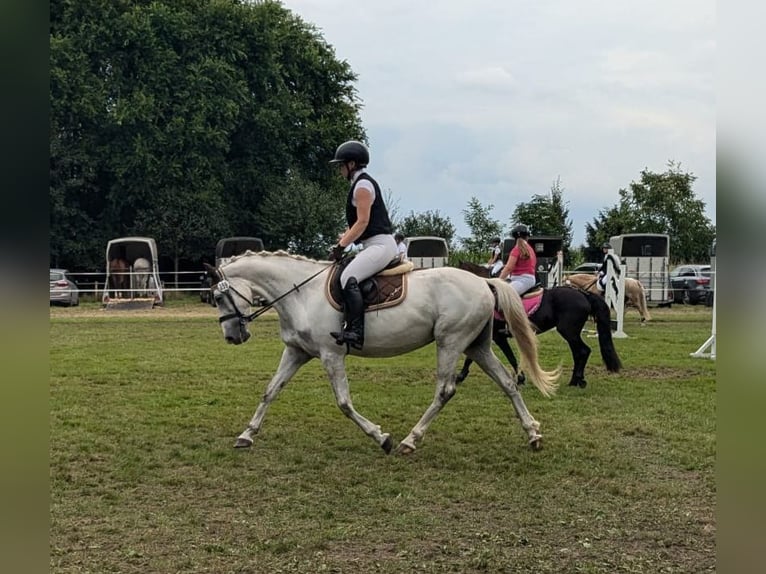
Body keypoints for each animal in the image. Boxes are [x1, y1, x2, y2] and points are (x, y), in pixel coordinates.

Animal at [207, 251, 560, 454]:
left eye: (219, 297)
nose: (232, 336)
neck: (300, 293)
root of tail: (483, 282)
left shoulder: (331, 355)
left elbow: (344, 403)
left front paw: (381, 437)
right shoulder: (296, 352)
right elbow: (270, 391)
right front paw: (247, 435)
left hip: (450, 342)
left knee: (445, 390)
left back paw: (409, 440)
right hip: (478, 346)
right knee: (508, 383)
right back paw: (533, 434)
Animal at [460, 262, 620, 390]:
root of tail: (583, 294)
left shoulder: (498, 337)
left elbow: (510, 357)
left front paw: (520, 379)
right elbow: (472, 358)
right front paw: (461, 376)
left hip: (569, 332)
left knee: (583, 351)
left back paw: (576, 381)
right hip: (571, 333)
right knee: (578, 353)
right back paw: (577, 380)